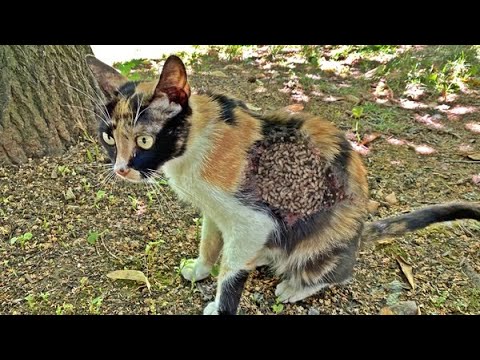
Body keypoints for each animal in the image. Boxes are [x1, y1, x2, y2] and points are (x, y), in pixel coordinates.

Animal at [87, 54, 480, 316]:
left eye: (145, 141)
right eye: (108, 137)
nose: (120, 169)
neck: (194, 145)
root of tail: (359, 233)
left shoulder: (252, 219)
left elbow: (231, 273)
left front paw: (220, 306)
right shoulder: (215, 213)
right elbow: (210, 243)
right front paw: (200, 270)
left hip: (321, 238)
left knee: (337, 273)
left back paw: (294, 285)